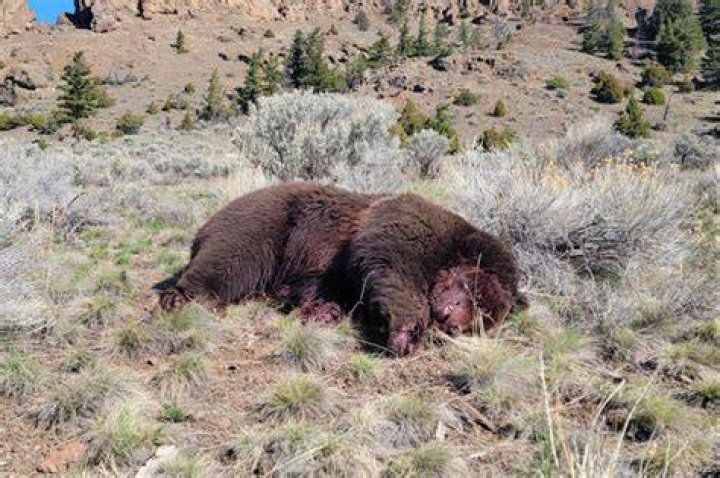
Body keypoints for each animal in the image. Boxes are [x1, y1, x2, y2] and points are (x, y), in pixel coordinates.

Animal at [342, 192, 523, 357]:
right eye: (473, 290)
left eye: (485, 316)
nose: (453, 326)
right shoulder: (401, 237)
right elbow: (392, 274)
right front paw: (406, 334)